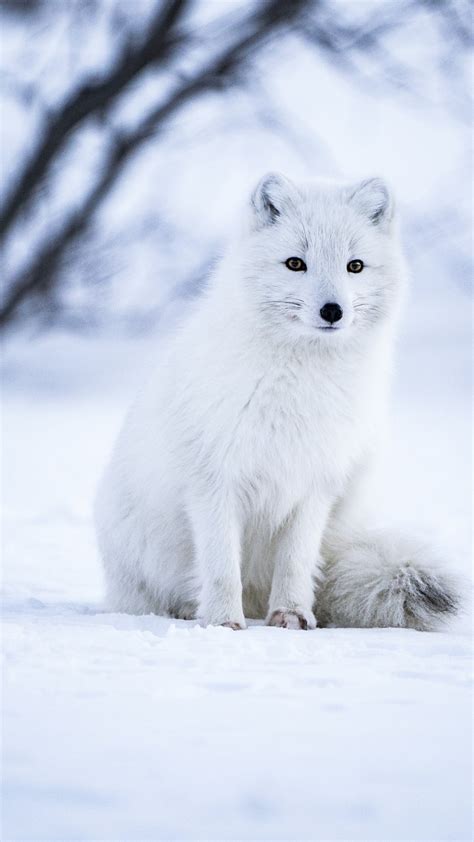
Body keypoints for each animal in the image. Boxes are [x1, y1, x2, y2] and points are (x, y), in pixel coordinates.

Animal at [94, 174, 462, 628]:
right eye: (295, 264)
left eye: (355, 266)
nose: (332, 310)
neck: (299, 384)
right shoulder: (214, 481)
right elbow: (220, 565)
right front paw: (222, 622)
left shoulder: (315, 485)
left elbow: (296, 562)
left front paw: (291, 615)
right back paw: (186, 611)